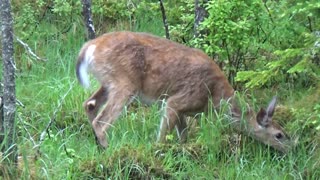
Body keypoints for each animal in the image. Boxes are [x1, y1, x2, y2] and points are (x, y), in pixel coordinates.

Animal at [76, 31, 292, 152]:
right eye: (279, 135)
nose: (294, 147)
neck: (215, 98)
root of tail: (89, 47)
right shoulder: (178, 100)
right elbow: (163, 135)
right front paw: (158, 151)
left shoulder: (182, 110)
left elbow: (184, 135)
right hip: (124, 83)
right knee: (101, 120)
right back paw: (109, 149)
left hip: (108, 82)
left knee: (89, 104)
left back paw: (97, 146)